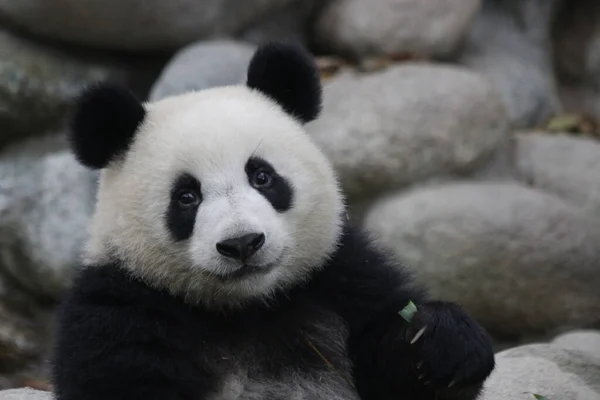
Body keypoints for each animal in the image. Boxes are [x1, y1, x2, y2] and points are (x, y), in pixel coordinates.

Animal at [51, 41, 494, 400]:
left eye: (262, 176)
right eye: (187, 197)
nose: (242, 243)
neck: (247, 309)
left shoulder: (341, 275)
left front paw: (444, 343)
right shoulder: (120, 311)